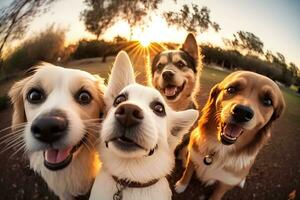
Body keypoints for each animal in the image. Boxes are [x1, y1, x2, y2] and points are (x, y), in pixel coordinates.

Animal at [176, 71, 286, 200]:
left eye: (268, 101)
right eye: (231, 89)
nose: (242, 112)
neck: (220, 149)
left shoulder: (225, 184)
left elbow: (216, 195)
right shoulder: (193, 158)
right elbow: (187, 173)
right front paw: (181, 185)